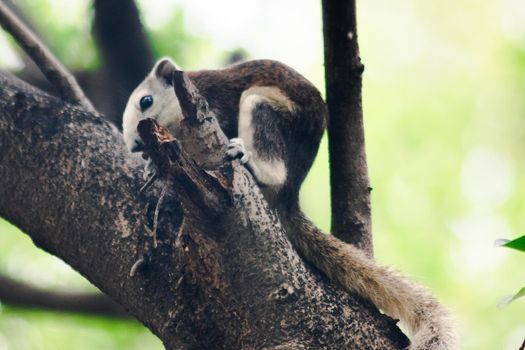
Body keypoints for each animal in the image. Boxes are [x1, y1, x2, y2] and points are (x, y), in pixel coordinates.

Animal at [122, 58, 454, 348]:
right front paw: (153, 170)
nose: (135, 145)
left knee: (273, 167)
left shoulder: (213, 103)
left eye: (146, 101)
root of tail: (291, 194)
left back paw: (250, 162)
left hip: (264, 107)